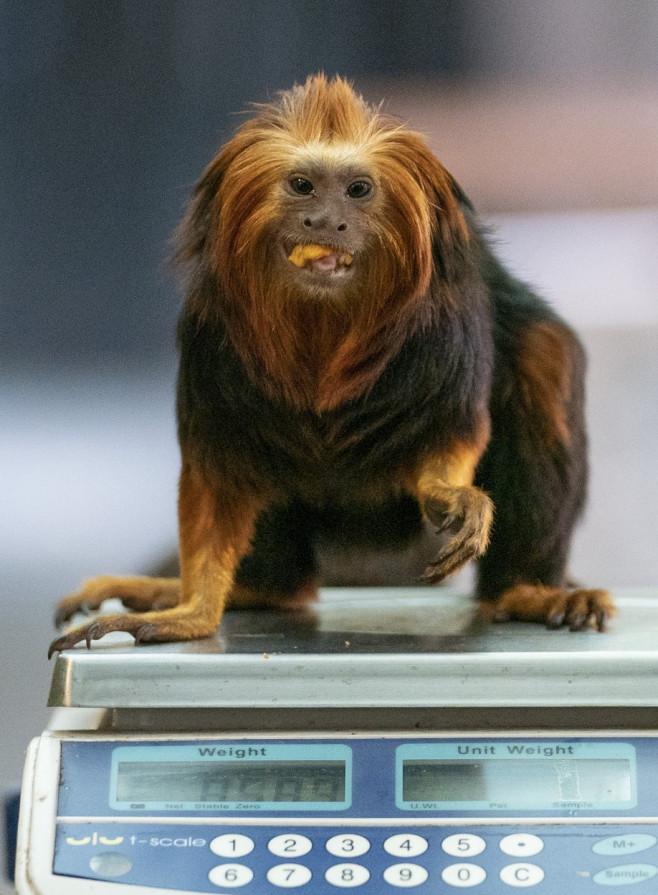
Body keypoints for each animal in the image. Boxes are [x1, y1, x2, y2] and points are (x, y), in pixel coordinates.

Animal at [48, 75, 612, 656]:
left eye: (358, 190)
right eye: (302, 186)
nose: (323, 221)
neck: (326, 327)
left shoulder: (448, 328)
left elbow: (451, 436)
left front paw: (450, 494)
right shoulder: (212, 342)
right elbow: (219, 471)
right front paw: (192, 611)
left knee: (548, 359)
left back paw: (524, 590)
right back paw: (245, 587)